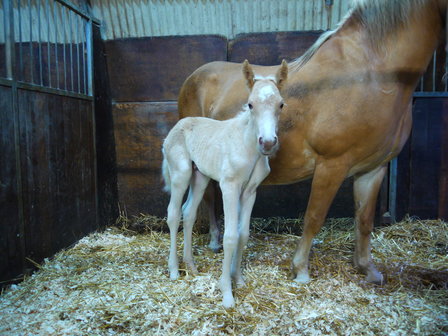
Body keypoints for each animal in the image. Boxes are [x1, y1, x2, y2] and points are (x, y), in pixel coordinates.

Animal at [162, 59, 288, 308]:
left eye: (280, 104)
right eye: (250, 104)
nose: (268, 143)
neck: (248, 147)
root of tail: (178, 125)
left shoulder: (249, 191)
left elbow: (243, 233)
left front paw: (237, 279)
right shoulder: (229, 186)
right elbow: (230, 236)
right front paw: (227, 292)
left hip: (199, 176)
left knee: (188, 213)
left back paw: (191, 265)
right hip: (181, 173)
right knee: (173, 213)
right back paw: (174, 270)